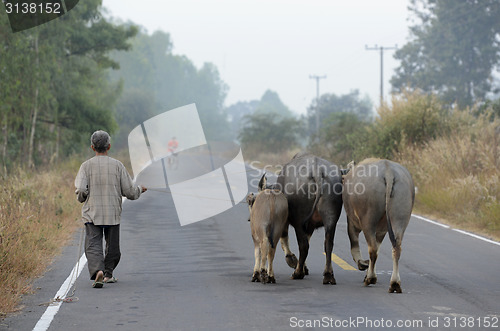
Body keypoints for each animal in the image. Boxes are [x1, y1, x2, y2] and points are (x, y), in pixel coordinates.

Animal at [344, 160, 414, 294]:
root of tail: (388, 171)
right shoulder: (382, 231)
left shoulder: (352, 223)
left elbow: (354, 245)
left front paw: (363, 265)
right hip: (400, 219)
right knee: (396, 248)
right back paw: (395, 283)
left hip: (368, 221)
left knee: (372, 249)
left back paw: (370, 278)